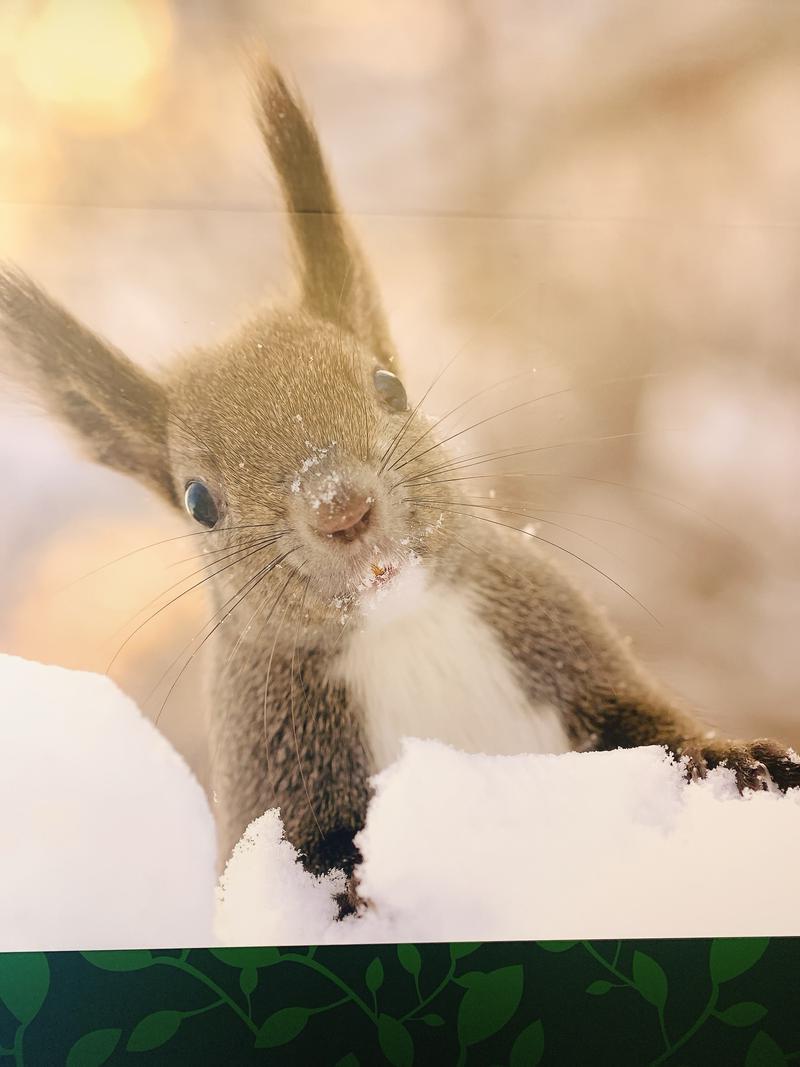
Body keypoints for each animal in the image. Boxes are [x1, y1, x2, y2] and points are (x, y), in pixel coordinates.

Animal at [1, 62, 800, 913]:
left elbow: (653, 725)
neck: (403, 625)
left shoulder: (564, 642)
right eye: (197, 501)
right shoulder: (271, 778)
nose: (341, 508)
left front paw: (740, 760)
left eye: (389, 385)